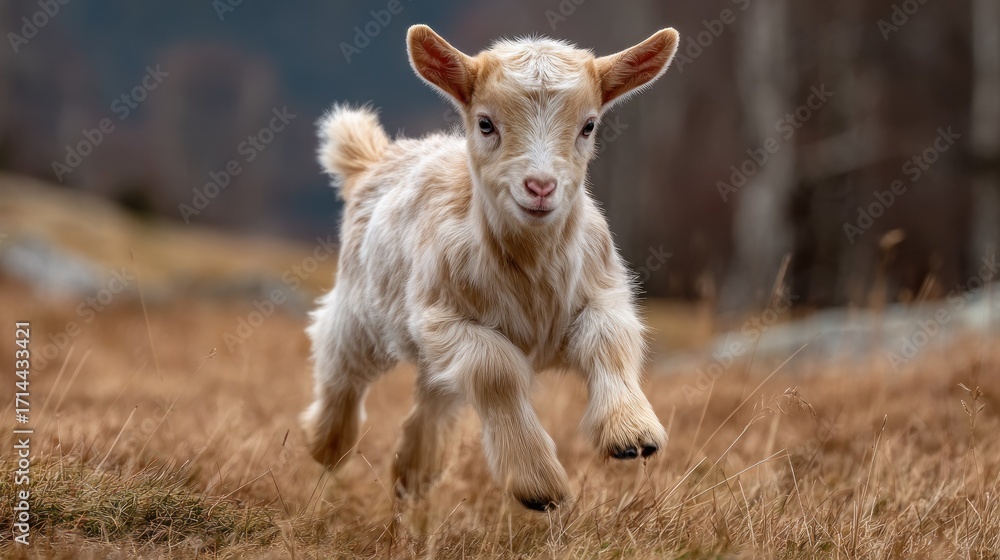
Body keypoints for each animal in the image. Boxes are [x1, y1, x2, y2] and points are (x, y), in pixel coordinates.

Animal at [302, 24, 680, 511]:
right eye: (486, 123)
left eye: (589, 125)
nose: (540, 187)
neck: (532, 268)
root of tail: (378, 159)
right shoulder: (444, 317)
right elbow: (496, 370)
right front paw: (540, 485)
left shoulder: (603, 292)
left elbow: (608, 339)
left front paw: (631, 433)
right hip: (362, 309)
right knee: (337, 358)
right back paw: (328, 443)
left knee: (436, 396)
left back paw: (414, 473)